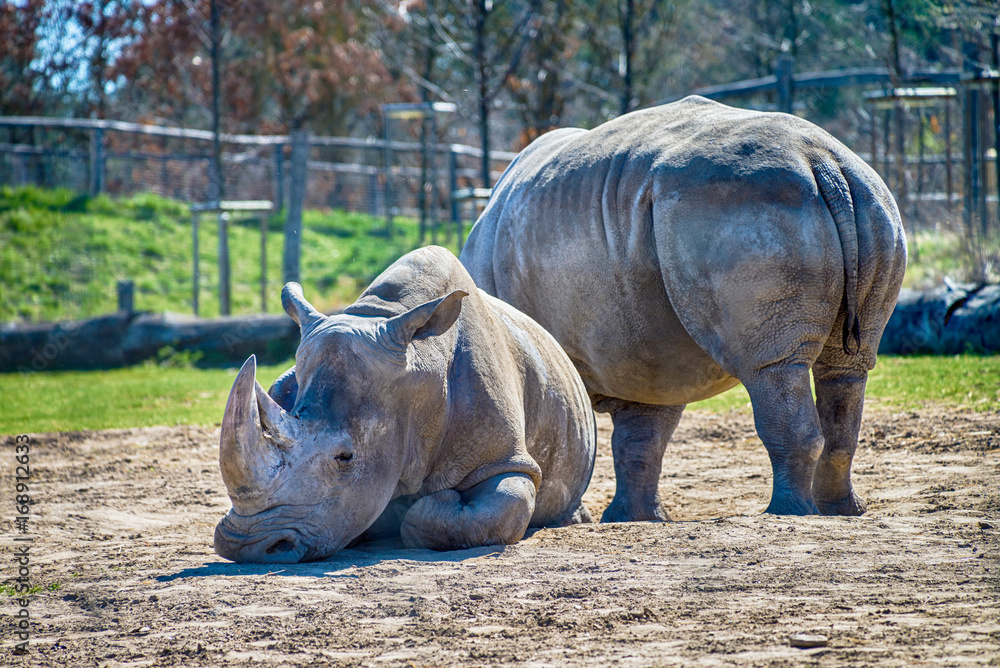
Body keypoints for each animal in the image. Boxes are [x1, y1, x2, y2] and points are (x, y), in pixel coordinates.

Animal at [460, 96, 907, 520]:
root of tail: (822, 162)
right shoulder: (649, 352)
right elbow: (642, 438)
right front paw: (635, 519)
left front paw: (587, 516)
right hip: (873, 204)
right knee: (847, 367)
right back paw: (840, 510)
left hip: (742, 207)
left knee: (772, 366)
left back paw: (787, 512)